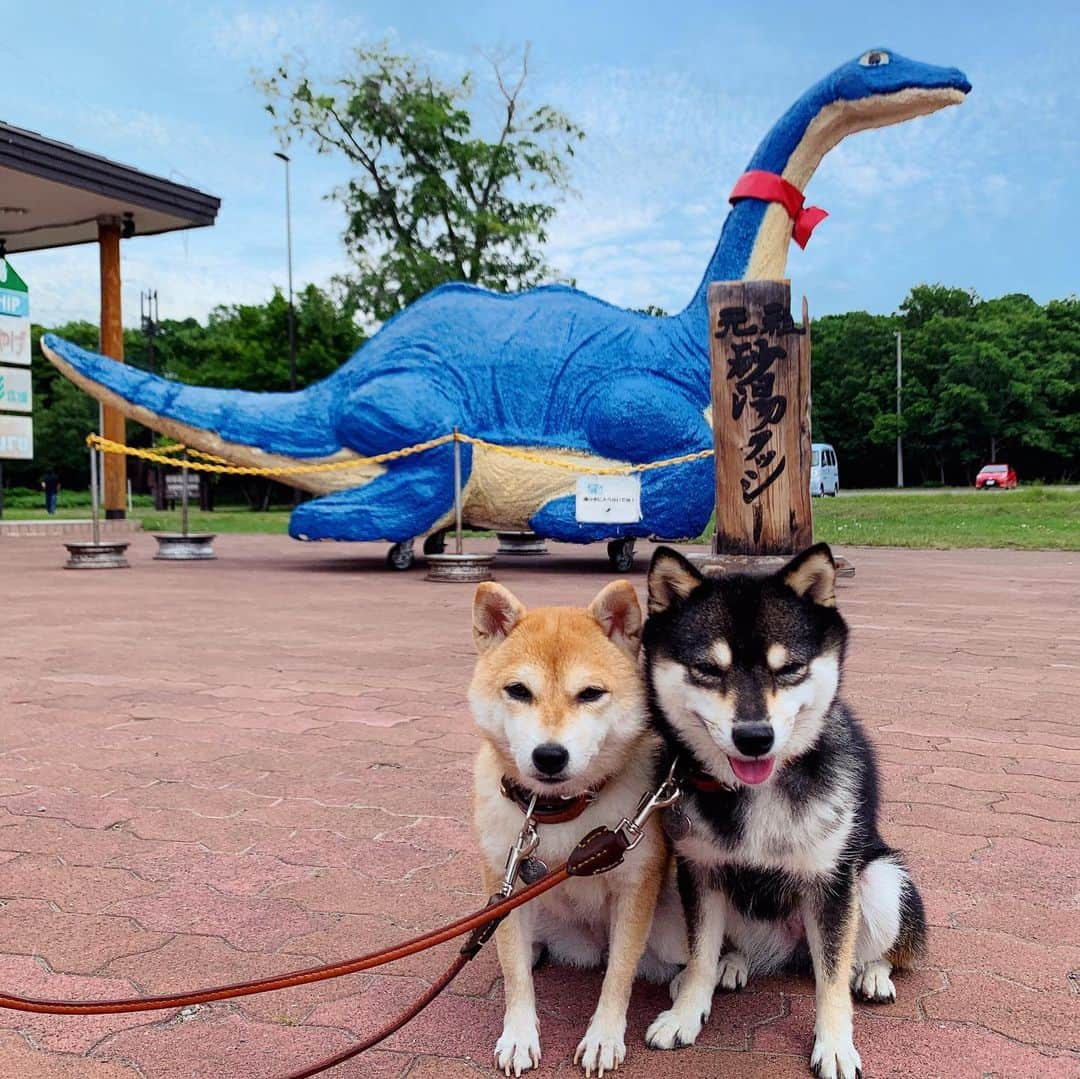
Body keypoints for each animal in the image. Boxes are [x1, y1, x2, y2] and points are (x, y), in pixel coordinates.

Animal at [468, 583, 678, 1079]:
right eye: (518, 691)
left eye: (590, 693)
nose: (549, 755)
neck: (560, 813)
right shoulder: (503, 885)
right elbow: (515, 974)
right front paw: (518, 1036)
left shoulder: (634, 887)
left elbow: (618, 974)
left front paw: (603, 1037)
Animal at [639, 544, 928, 1079]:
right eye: (708, 669)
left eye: (789, 667)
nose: (755, 737)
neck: (757, 790)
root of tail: (790, 948)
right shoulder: (700, 872)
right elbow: (699, 954)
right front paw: (686, 1011)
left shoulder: (833, 884)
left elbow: (831, 979)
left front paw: (834, 1044)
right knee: (728, 949)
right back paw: (733, 963)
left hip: (880, 879)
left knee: (875, 950)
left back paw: (873, 974)